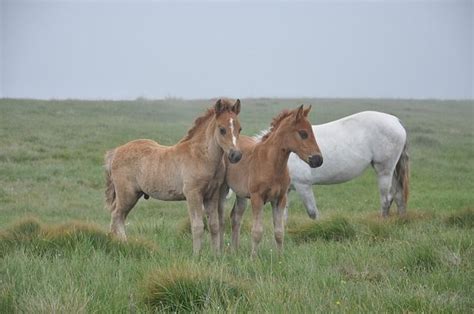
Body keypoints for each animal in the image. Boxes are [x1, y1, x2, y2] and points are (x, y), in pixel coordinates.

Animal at [105, 98, 243, 255]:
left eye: (239, 129)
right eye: (222, 129)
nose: (236, 155)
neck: (201, 156)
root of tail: (116, 152)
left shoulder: (212, 195)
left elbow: (214, 225)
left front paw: (216, 255)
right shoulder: (193, 194)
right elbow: (197, 226)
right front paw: (196, 255)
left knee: (118, 217)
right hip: (127, 195)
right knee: (117, 216)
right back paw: (123, 244)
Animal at [220, 105, 324, 255]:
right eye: (303, 133)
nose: (318, 160)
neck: (271, 164)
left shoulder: (280, 199)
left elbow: (279, 232)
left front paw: (280, 257)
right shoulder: (257, 198)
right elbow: (257, 231)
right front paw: (253, 257)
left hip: (241, 195)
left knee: (236, 217)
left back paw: (235, 251)